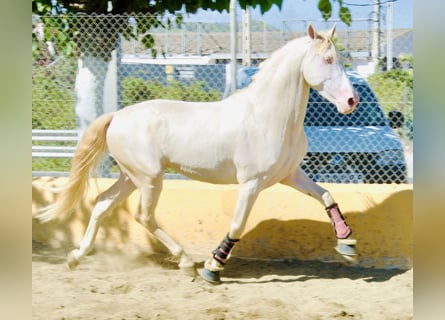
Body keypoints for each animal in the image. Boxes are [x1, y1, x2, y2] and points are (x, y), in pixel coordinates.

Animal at [37, 24, 358, 282]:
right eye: (328, 59)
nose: (351, 101)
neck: (268, 117)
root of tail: (116, 116)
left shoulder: (289, 175)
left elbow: (326, 195)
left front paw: (348, 243)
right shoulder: (251, 183)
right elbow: (237, 225)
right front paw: (213, 268)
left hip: (130, 177)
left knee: (102, 204)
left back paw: (76, 257)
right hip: (150, 179)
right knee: (144, 216)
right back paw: (186, 262)